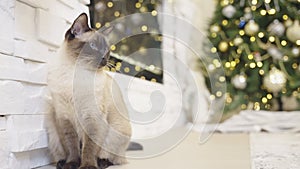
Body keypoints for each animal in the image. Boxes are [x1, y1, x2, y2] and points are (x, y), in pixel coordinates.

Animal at [46, 13, 132, 169]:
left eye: (106, 50)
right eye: (93, 46)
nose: (104, 59)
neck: (76, 73)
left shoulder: (92, 118)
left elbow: (89, 148)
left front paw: (87, 166)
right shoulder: (65, 118)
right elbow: (72, 146)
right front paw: (72, 164)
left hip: (116, 131)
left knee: (112, 157)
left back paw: (101, 163)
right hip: (52, 127)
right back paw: (62, 163)